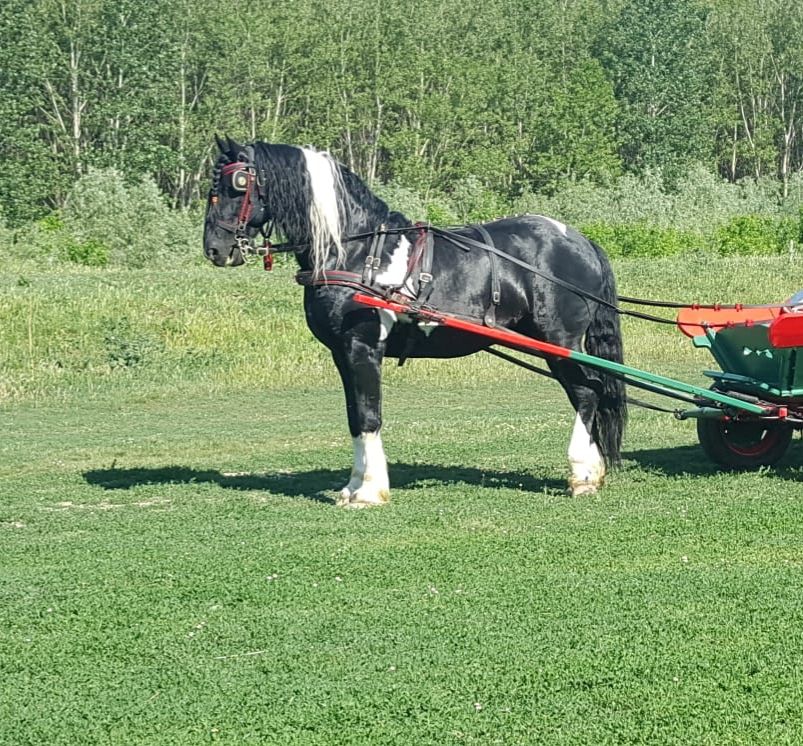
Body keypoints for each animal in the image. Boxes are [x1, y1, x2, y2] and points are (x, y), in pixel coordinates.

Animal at [203, 136, 628, 502]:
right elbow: (354, 417)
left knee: (587, 393)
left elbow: (369, 415)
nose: (214, 249)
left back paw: (582, 474)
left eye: (237, 184)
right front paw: (352, 486)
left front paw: (370, 491)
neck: (357, 251)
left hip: (560, 341)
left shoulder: (363, 347)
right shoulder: (342, 353)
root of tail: (581, 241)